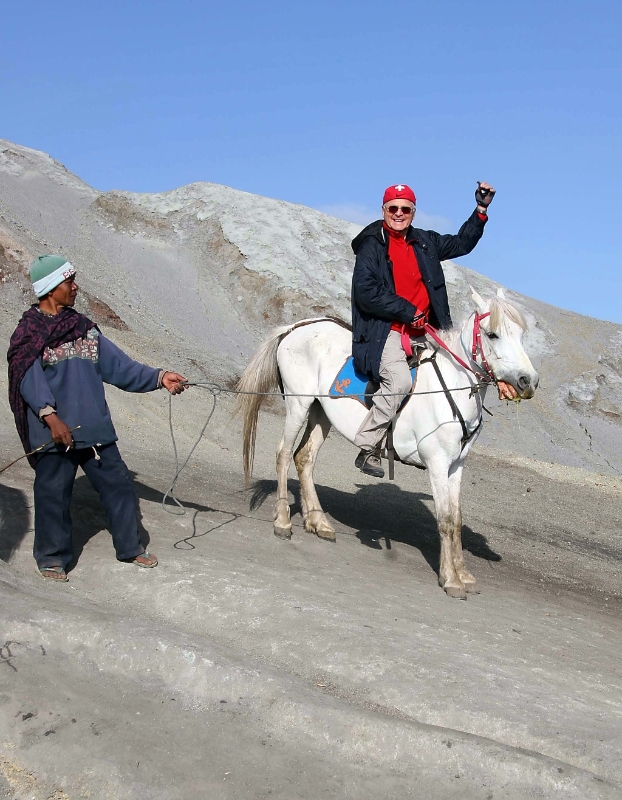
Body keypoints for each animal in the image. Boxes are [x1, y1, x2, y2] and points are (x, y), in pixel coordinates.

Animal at [239, 290, 540, 596]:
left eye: (521, 334)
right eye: (492, 334)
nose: (528, 381)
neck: (452, 386)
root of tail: (296, 327)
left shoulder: (456, 465)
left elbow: (456, 520)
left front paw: (464, 575)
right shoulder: (437, 463)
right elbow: (444, 520)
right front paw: (451, 579)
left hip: (320, 413)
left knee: (305, 458)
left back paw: (318, 522)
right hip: (298, 405)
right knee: (283, 454)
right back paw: (282, 521)